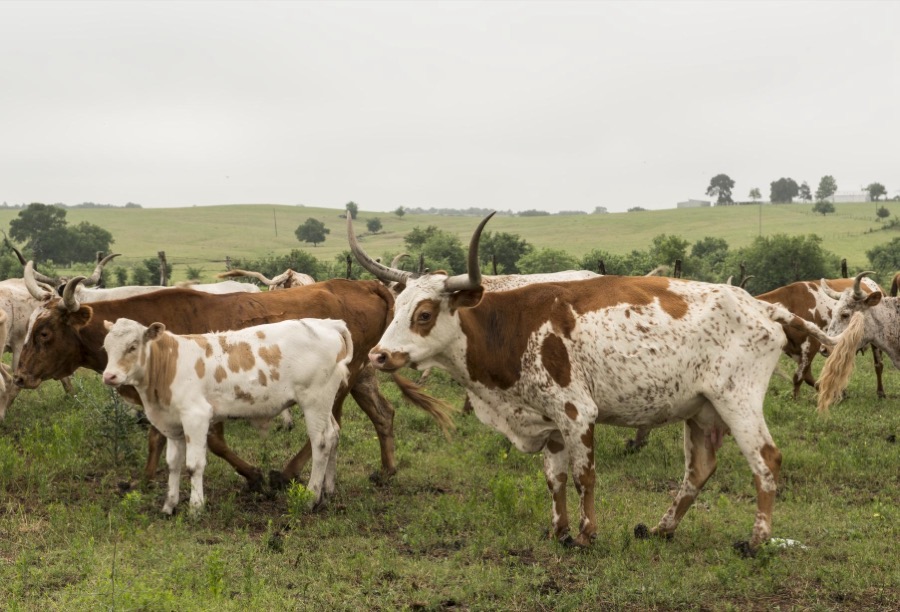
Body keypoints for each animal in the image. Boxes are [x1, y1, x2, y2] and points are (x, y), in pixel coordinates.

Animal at [15, 276, 454, 491]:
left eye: (44, 333)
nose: (19, 375)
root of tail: (363, 284)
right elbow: (159, 437)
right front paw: (146, 478)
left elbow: (215, 443)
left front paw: (254, 476)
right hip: (362, 374)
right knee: (382, 414)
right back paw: (387, 471)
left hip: (336, 383)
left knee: (332, 428)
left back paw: (287, 474)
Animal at [102, 317, 352, 514]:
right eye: (105, 348)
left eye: (133, 346)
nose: (109, 376)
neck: (168, 364)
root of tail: (328, 323)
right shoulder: (172, 424)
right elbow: (173, 464)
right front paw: (169, 505)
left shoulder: (196, 416)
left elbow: (193, 465)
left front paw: (196, 507)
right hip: (324, 403)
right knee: (333, 434)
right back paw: (328, 490)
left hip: (315, 400)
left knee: (320, 442)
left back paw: (311, 497)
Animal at [350, 213, 842, 553]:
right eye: (396, 308)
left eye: (425, 314)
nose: (378, 355)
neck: (511, 326)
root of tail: (761, 306)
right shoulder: (547, 419)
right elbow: (555, 478)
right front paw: (559, 530)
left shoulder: (576, 412)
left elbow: (584, 475)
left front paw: (587, 534)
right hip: (702, 410)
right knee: (699, 470)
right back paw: (661, 529)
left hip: (738, 400)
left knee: (766, 460)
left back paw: (757, 542)